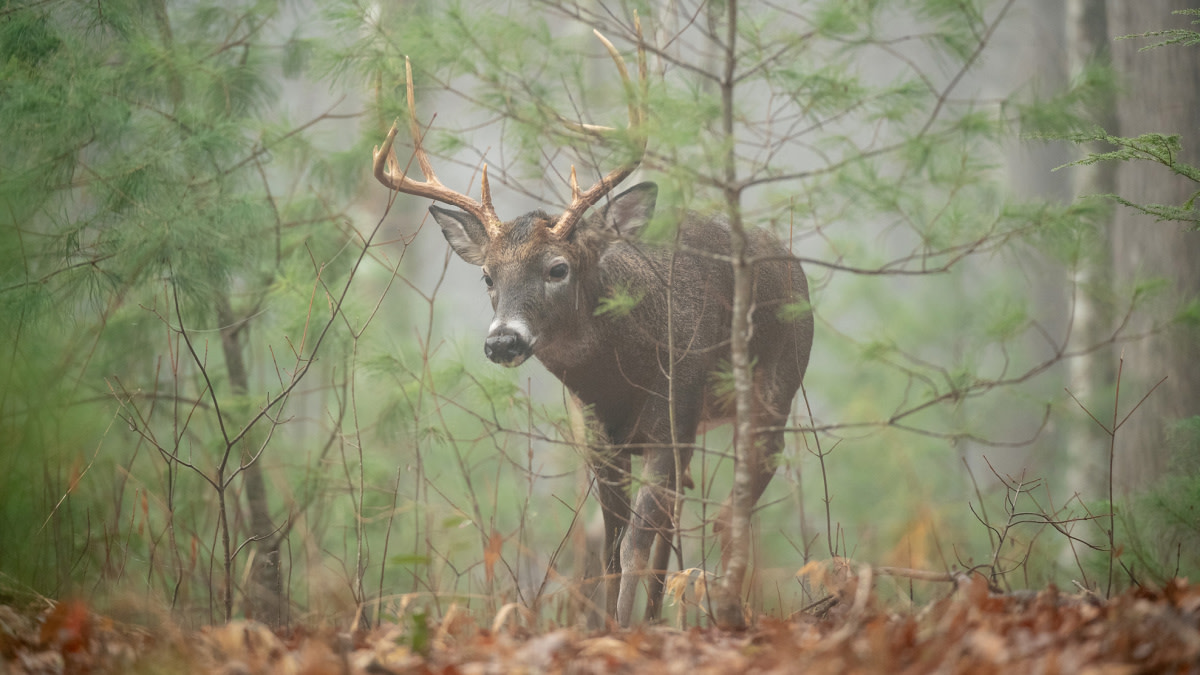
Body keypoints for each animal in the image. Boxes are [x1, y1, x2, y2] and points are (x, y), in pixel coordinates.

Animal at [369, 27, 811, 624]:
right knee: (679, 518)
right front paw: (605, 624)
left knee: (728, 513)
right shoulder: (600, 439)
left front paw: (622, 627)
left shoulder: (672, 412)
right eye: (487, 275)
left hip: (773, 391)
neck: (621, 373)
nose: (503, 339)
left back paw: (722, 611)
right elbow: (609, 543)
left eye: (558, 268)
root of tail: (793, 264)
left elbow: (633, 542)